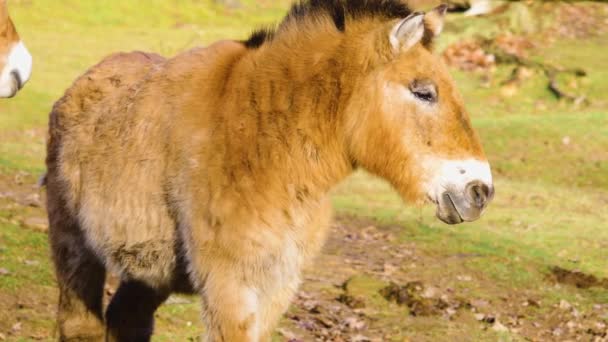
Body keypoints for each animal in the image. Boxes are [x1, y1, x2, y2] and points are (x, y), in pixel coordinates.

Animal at [47, 1, 494, 340]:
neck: (263, 142)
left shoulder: (278, 284)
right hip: (74, 248)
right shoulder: (231, 285)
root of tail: (84, 81)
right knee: (80, 325)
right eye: (424, 92)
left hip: (148, 271)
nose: (480, 190)